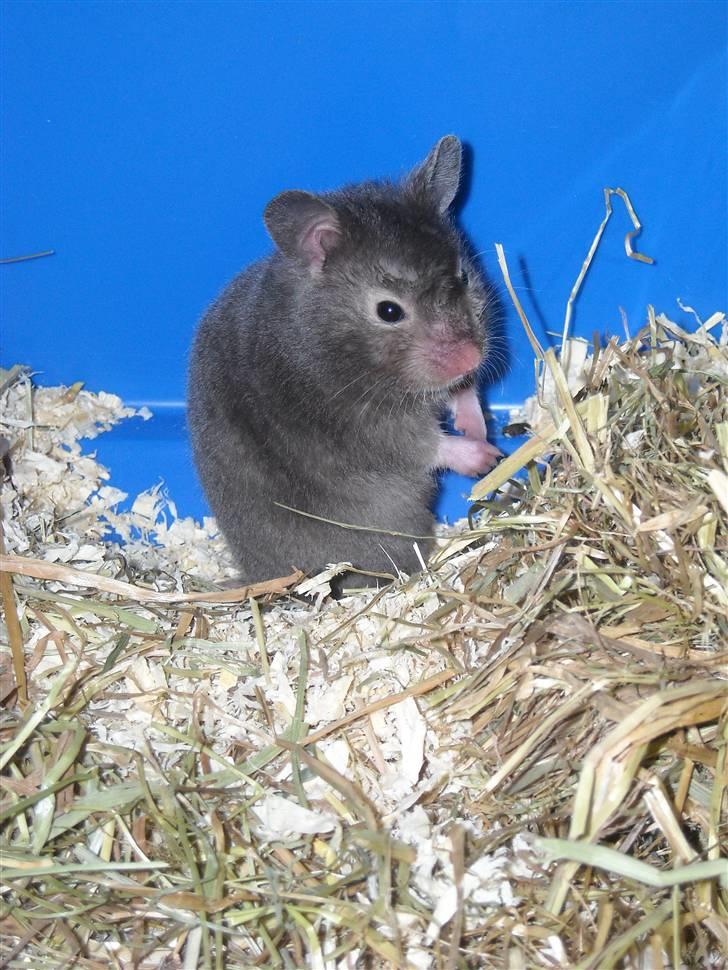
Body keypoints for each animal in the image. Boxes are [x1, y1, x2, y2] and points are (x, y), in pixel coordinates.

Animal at [187, 135, 501, 586]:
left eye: (463, 276)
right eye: (388, 311)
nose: (471, 358)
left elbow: (464, 394)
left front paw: (478, 428)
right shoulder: (370, 428)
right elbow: (427, 445)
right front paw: (486, 456)